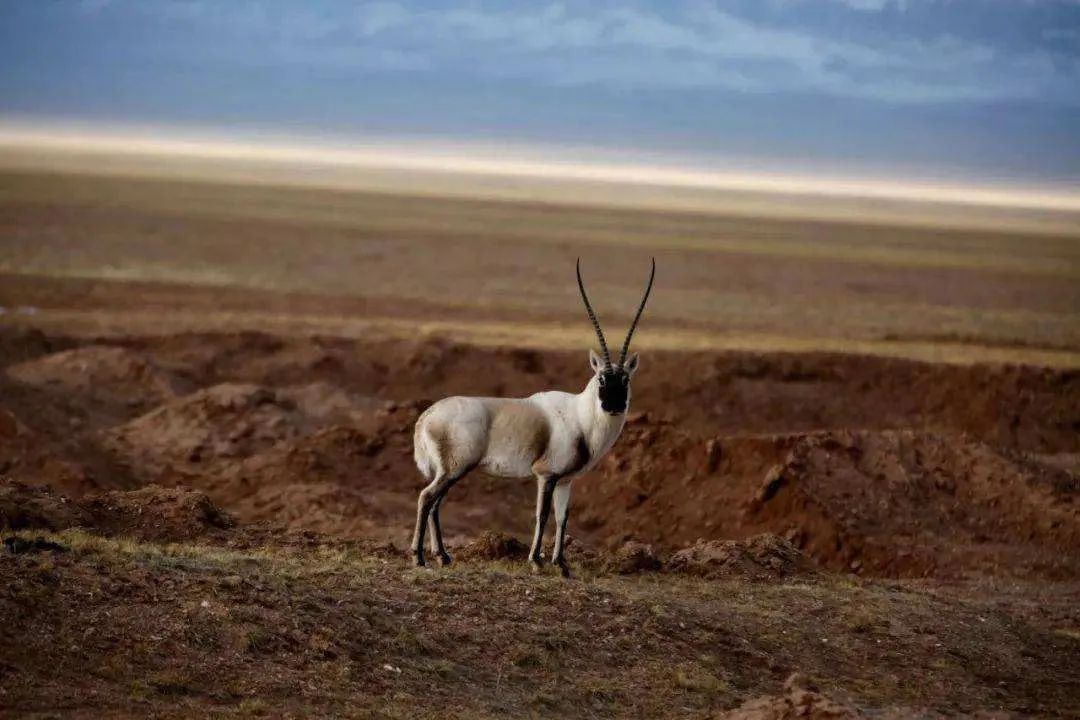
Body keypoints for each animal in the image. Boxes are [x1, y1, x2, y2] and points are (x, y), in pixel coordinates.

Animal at [408, 255, 652, 578]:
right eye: (602, 379)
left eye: (625, 380)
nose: (613, 406)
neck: (581, 416)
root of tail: (427, 416)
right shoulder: (546, 475)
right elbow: (542, 514)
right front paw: (536, 561)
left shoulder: (565, 481)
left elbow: (563, 517)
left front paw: (562, 565)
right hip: (455, 468)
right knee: (427, 498)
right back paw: (419, 558)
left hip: (449, 471)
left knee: (435, 503)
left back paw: (443, 557)